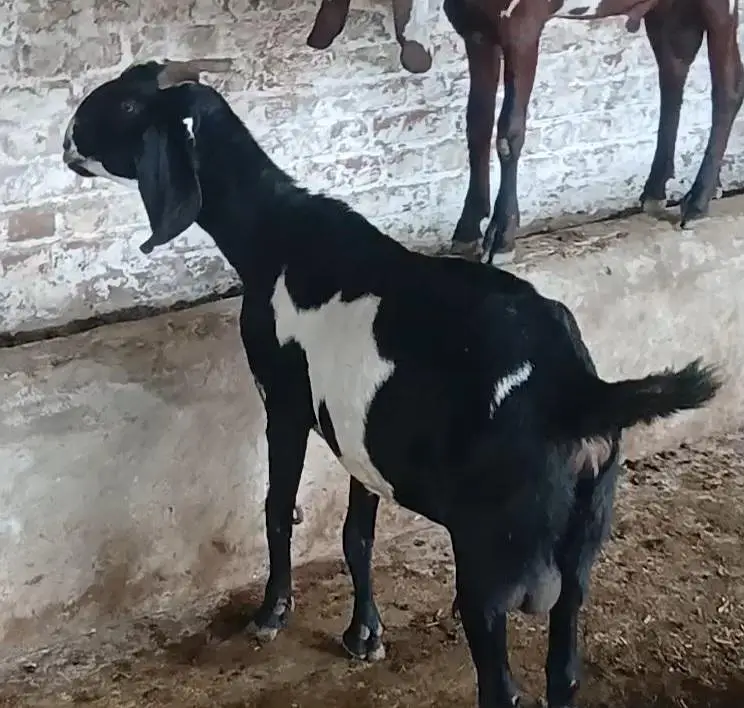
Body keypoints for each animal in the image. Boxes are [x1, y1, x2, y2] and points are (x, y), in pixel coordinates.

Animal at [62, 59, 723, 708]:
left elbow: (277, 506)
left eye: (129, 105)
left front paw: (272, 613)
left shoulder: (285, 401)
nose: (67, 139)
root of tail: (576, 394)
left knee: (501, 685)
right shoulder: (359, 433)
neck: (276, 234)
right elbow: (358, 532)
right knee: (565, 674)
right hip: (582, 545)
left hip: (493, 553)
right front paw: (364, 634)